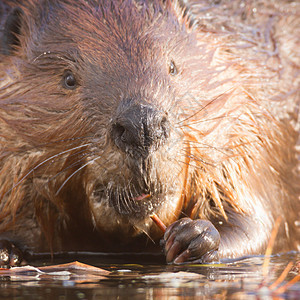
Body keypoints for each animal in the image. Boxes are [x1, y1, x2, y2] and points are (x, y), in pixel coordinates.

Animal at [0, 0, 298, 268]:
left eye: (173, 67)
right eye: (69, 79)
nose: (142, 125)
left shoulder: (240, 130)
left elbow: (258, 225)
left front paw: (195, 236)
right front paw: (8, 251)